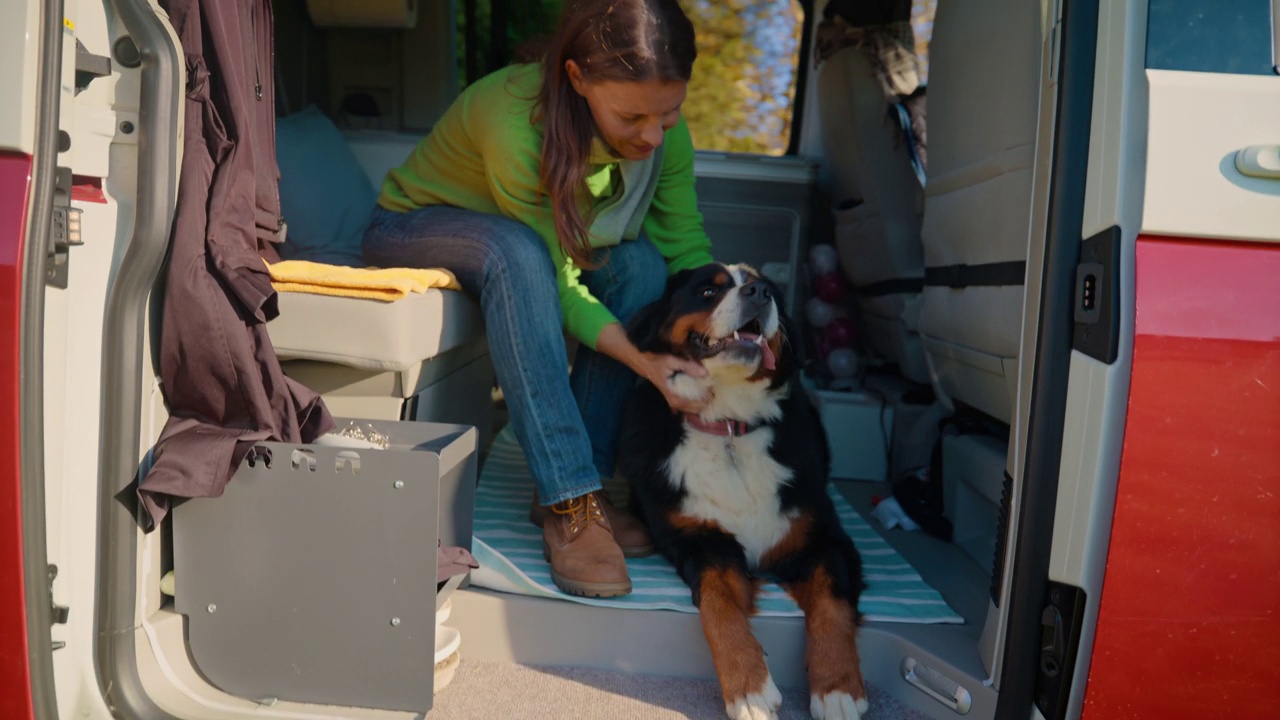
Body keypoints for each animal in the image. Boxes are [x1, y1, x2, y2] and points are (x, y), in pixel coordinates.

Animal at [619, 262, 870, 717]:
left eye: (766, 287)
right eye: (707, 291)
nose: (759, 293)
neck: (730, 427)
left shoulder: (823, 539)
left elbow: (832, 605)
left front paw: (838, 688)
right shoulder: (703, 542)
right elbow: (718, 606)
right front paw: (749, 689)